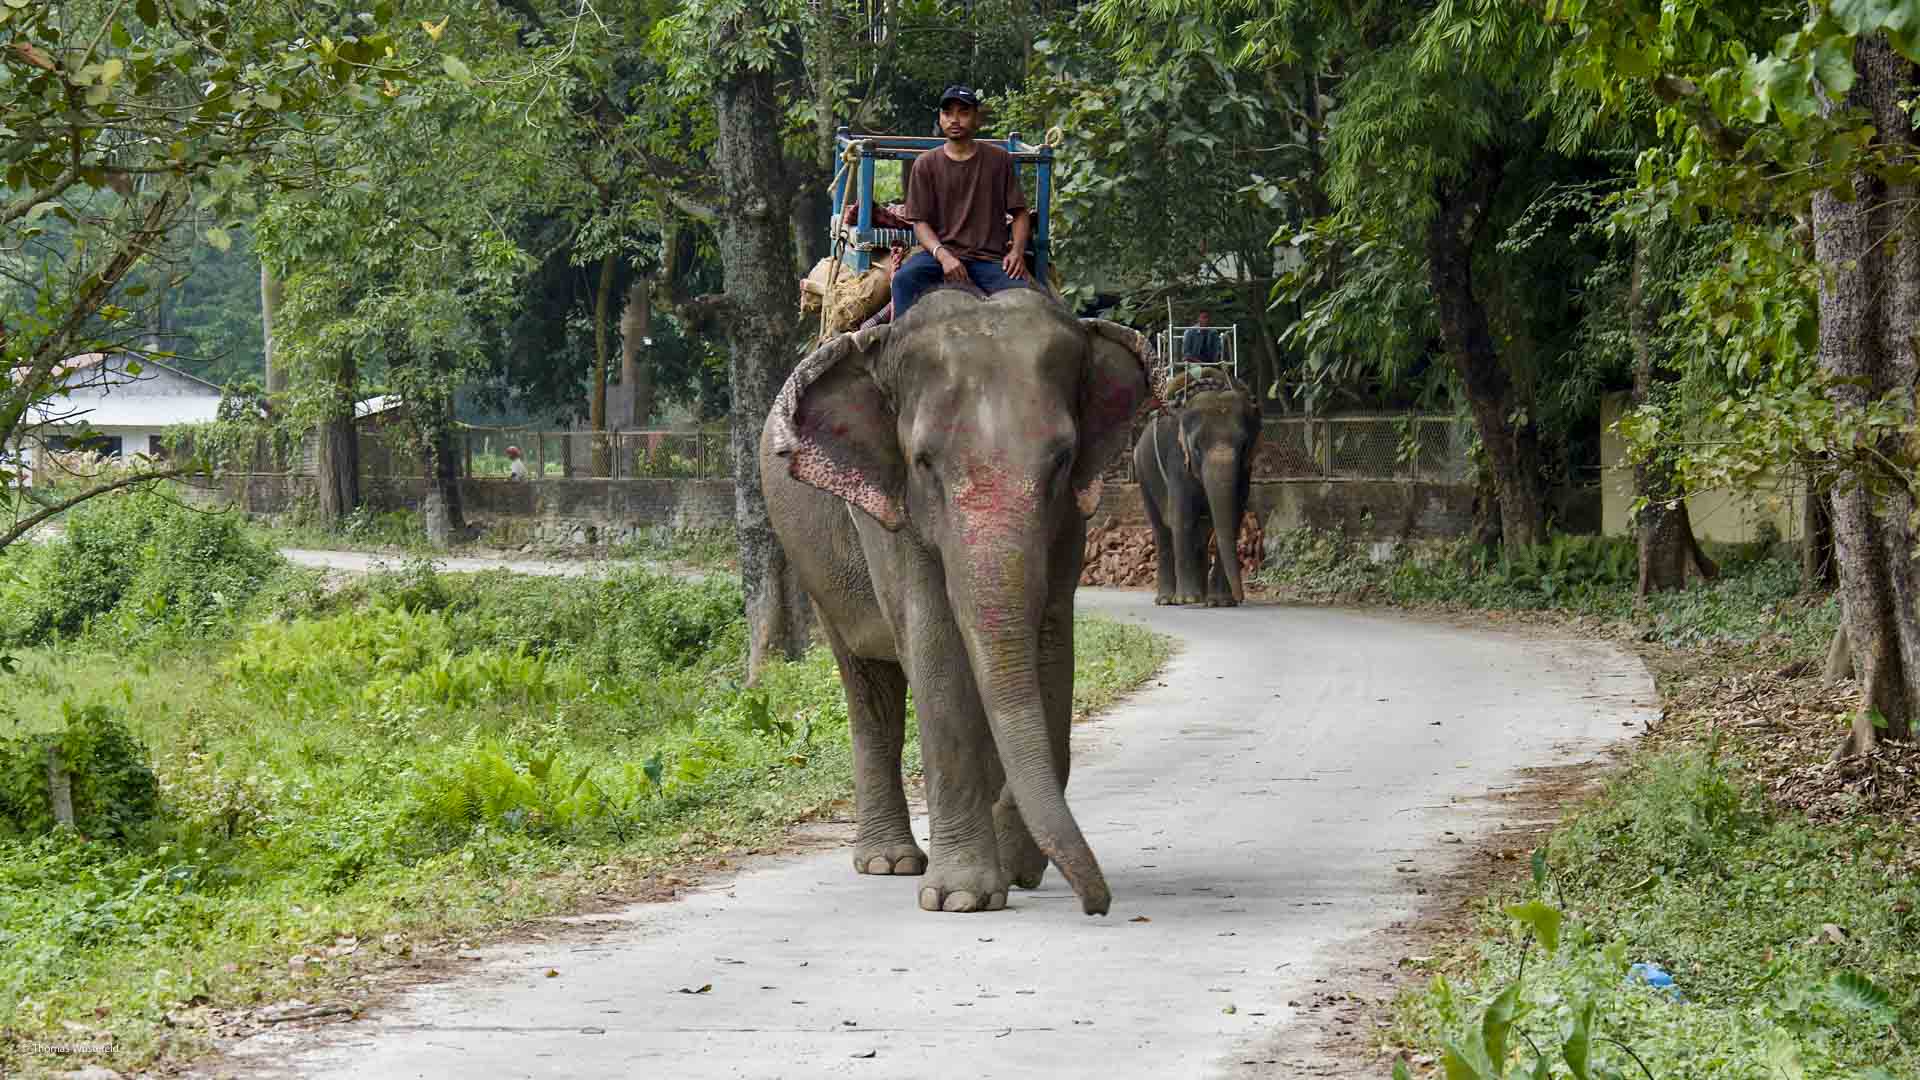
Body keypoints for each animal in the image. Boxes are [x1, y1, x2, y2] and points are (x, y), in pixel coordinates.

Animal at [760, 287, 1151, 916]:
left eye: (1063, 459)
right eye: (923, 461)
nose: (1099, 905)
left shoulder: (1072, 519)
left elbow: (1050, 648)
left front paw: (1017, 867)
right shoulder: (888, 510)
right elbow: (936, 646)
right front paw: (961, 897)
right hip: (811, 561)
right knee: (868, 690)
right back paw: (888, 863)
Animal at [1132, 370, 1261, 607]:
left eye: (1244, 446)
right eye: (1197, 448)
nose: (1241, 598)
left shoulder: (1246, 470)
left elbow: (1233, 517)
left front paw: (1221, 602)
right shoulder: (1177, 458)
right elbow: (1182, 517)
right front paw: (1188, 600)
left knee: (1201, 531)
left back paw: (1201, 596)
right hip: (1143, 474)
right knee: (1162, 531)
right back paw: (1168, 599)